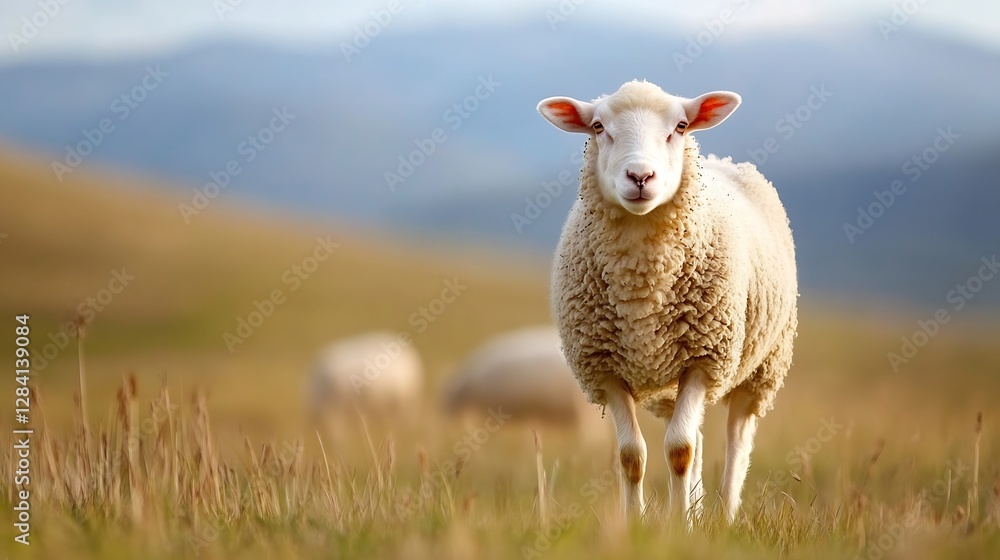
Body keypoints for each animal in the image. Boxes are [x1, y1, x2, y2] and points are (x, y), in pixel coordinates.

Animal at [537, 80, 798, 524]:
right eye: (598, 126)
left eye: (680, 126)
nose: (640, 176)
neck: (643, 281)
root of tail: (724, 160)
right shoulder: (604, 368)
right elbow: (632, 456)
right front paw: (637, 524)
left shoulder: (704, 358)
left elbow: (679, 451)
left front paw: (678, 526)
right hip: (671, 385)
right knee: (696, 436)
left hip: (762, 367)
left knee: (736, 439)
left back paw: (724, 516)